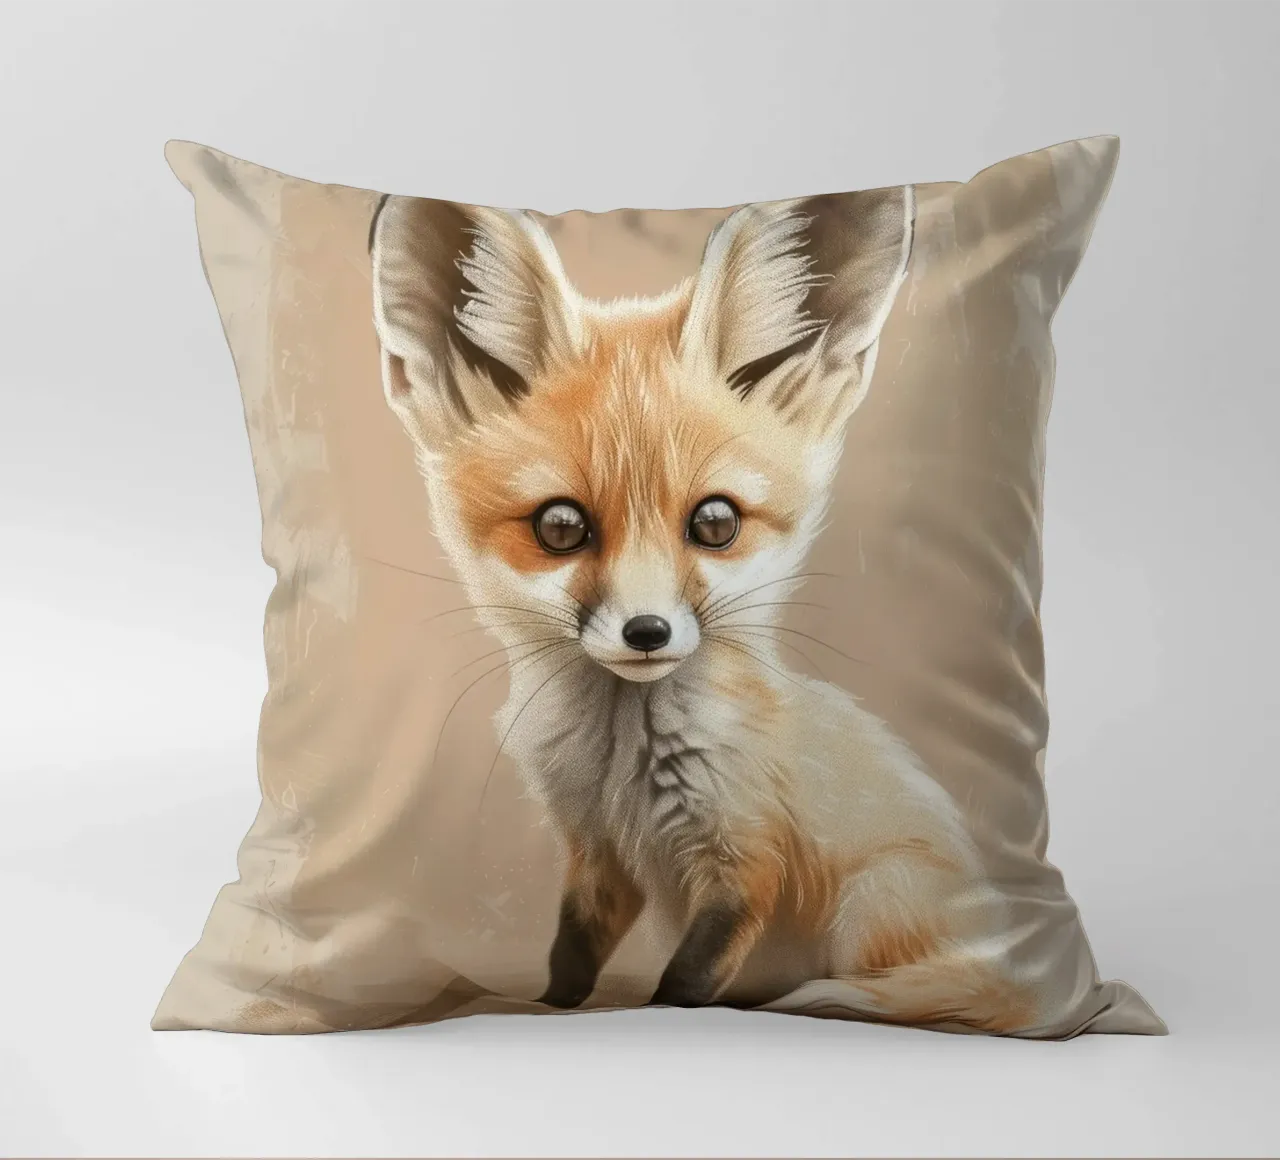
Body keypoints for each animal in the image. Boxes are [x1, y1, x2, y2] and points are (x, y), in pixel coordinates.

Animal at [369, 185, 1035, 1033]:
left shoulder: (748, 861)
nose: (647, 632)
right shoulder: (597, 857)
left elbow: (684, 983)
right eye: (561, 528)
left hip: (874, 903)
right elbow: (568, 959)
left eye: (715, 522)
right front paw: (547, 1006)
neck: (622, 767)